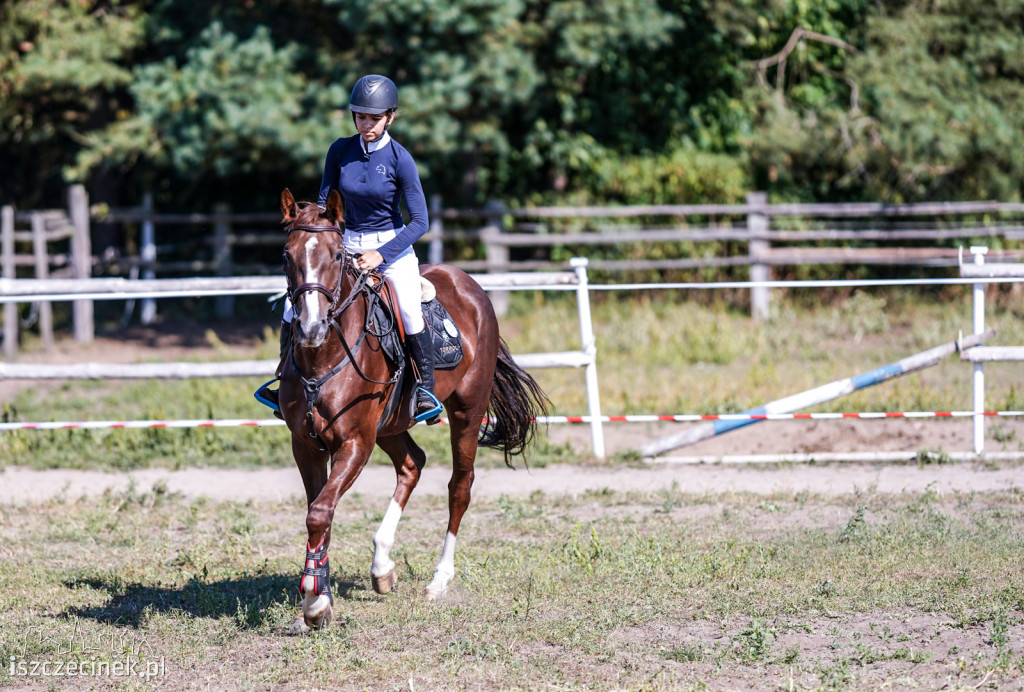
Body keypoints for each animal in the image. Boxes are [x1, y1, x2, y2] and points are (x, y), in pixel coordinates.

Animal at [276, 188, 548, 626]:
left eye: (335, 256)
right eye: (287, 255)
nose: (311, 327)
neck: (322, 358)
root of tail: (468, 284)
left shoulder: (355, 443)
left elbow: (319, 512)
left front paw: (315, 601)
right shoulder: (305, 444)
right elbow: (321, 513)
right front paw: (321, 595)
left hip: (466, 412)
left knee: (459, 487)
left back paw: (439, 580)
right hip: (390, 425)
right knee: (412, 465)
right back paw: (382, 566)